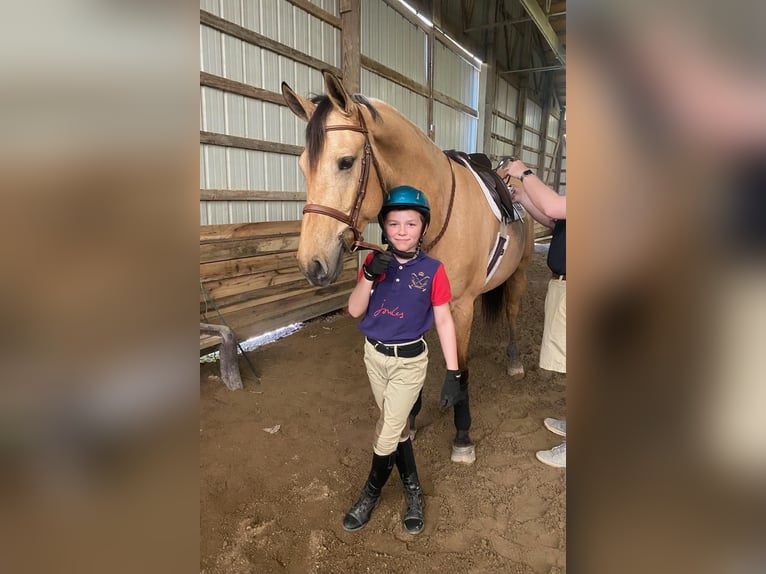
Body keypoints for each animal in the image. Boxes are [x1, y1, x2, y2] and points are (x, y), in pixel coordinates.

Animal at [282, 70, 536, 466]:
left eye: (345, 162)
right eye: (302, 166)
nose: (312, 263)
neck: (439, 208)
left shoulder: (460, 305)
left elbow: (461, 371)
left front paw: (462, 437)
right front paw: (409, 422)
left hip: (519, 273)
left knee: (511, 312)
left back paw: (514, 361)